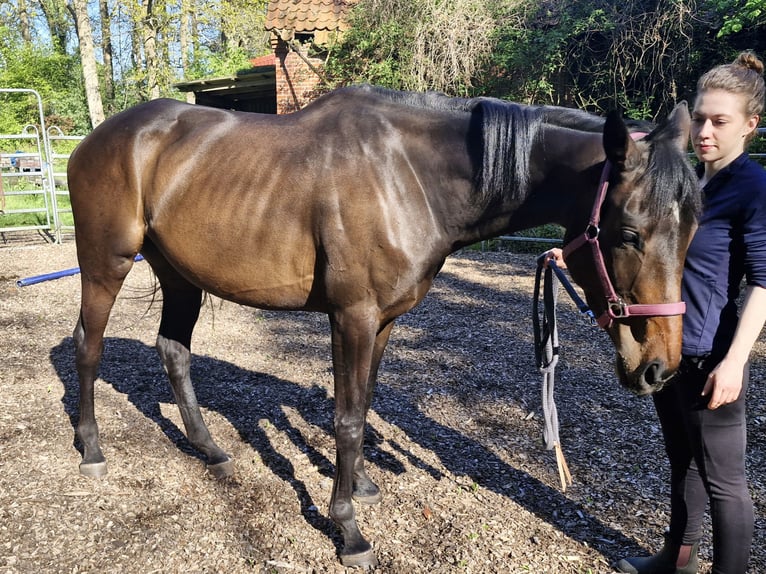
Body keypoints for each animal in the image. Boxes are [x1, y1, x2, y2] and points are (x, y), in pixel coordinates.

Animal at [66, 85, 700, 568]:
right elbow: (346, 419)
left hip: (179, 276)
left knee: (173, 351)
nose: (659, 367)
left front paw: (362, 486)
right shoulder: (352, 317)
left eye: (692, 228)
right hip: (105, 265)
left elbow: (365, 403)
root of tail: (98, 138)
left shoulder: (385, 322)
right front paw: (347, 530)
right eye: (629, 233)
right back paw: (91, 448)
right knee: (87, 347)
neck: (410, 176)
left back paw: (209, 448)